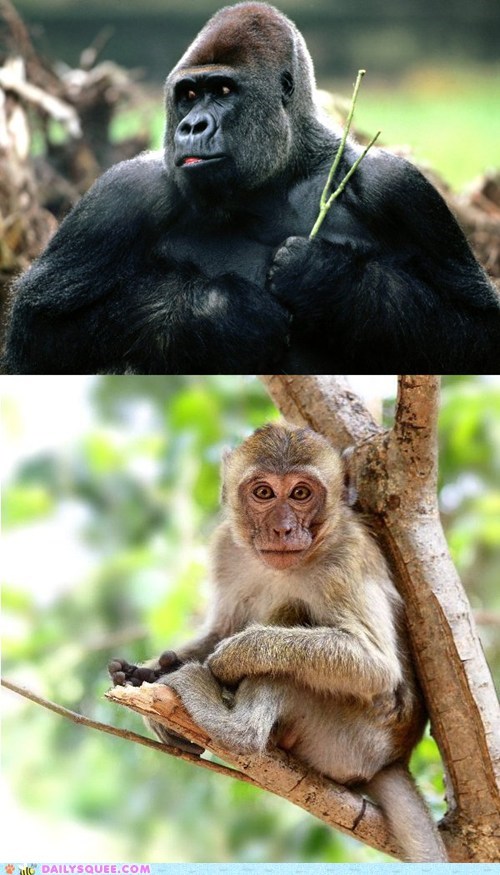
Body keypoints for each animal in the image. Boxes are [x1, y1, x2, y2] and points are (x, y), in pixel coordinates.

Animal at [109, 422, 447, 862]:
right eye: (264, 492)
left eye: (301, 493)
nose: (283, 528)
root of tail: (395, 758)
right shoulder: (225, 548)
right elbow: (221, 627)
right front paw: (144, 673)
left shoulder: (346, 559)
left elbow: (375, 666)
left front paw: (232, 658)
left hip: (351, 739)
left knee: (288, 637)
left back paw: (229, 720)